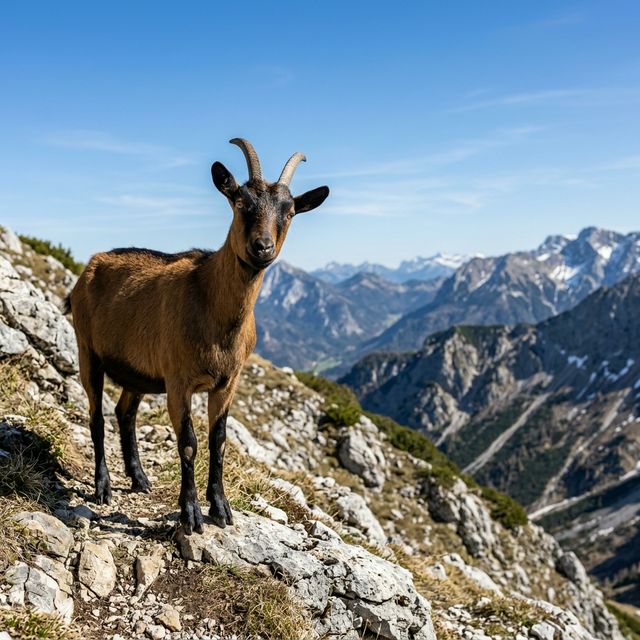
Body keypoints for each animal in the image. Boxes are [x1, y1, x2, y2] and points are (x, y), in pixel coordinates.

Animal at [66, 139, 329, 534]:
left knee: (124, 412)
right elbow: (188, 443)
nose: (262, 247)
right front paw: (190, 513)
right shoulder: (179, 381)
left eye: (290, 211)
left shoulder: (226, 383)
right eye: (241, 202)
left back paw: (139, 478)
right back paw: (104, 486)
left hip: (137, 372)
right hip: (88, 352)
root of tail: (90, 266)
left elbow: (218, 441)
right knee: (97, 416)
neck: (211, 308)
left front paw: (220, 508)